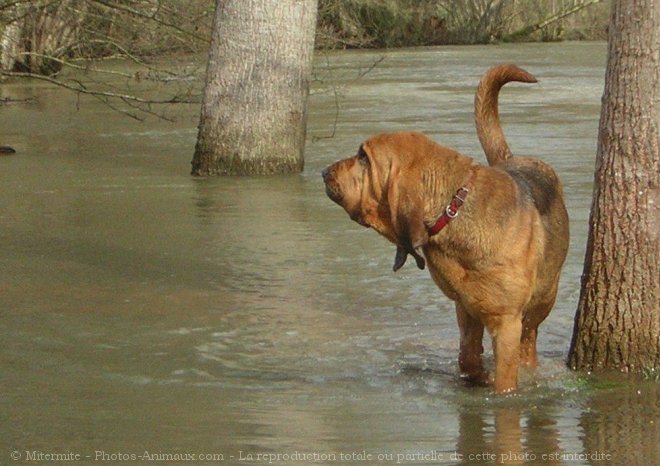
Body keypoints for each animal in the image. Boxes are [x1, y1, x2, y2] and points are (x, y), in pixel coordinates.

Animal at [322, 63, 568, 396]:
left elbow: (505, 378)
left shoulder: (506, 321)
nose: (324, 172)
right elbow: (468, 357)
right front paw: (477, 376)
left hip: (544, 296)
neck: (454, 208)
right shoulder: (465, 309)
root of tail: (511, 158)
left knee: (530, 339)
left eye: (363, 156)